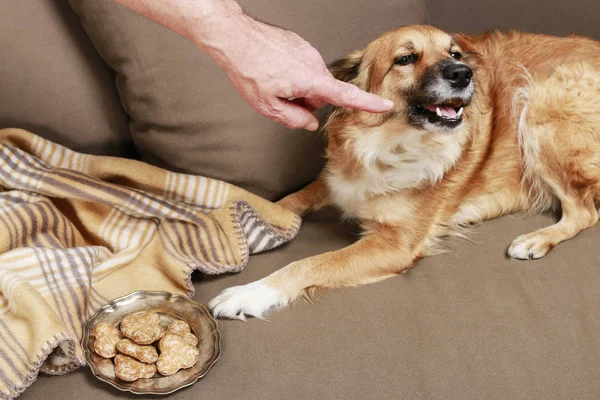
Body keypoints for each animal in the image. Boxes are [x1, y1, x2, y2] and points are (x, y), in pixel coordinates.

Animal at [210, 24, 600, 318]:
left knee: (585, 211)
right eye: (405, 59)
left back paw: (536, 239)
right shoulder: (337, 179)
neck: (387, 142)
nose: (463, 74)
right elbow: (292, 199)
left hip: (538, 106)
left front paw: (249, 293)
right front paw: (254, 217)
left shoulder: (395, 245)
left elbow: (310, 263)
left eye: (455, 55)